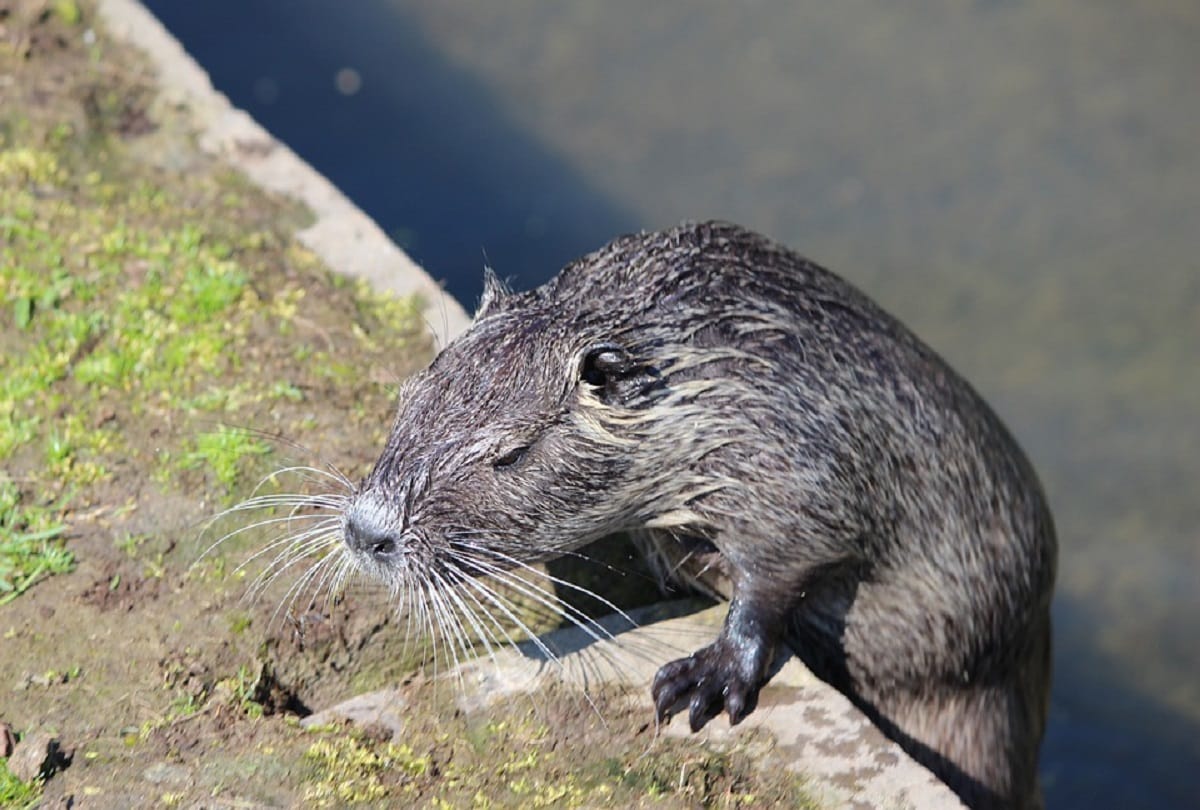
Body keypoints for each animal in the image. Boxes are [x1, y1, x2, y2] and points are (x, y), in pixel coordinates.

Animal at [340, 221, 1056, 810]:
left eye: (511, 454)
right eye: (410, 394)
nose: (368, 532)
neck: (708, 367)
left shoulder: (798, 458)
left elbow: (782, 570)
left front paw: (701, 682)